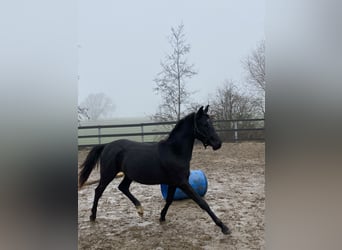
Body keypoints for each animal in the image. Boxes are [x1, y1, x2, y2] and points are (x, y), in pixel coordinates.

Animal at [79, 105, 231, 234]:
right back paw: (92, 216)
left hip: (128, 175)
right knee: (98, 191)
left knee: (123, 187)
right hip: (108, 174)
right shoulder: (183, 183)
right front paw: (224, 227)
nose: (218, 144)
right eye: (204, 124)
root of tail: (106, 145)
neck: (175, 152)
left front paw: (162, 217)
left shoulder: (173, 183)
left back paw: (140, 209)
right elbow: (202, 203)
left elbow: (169, 200)